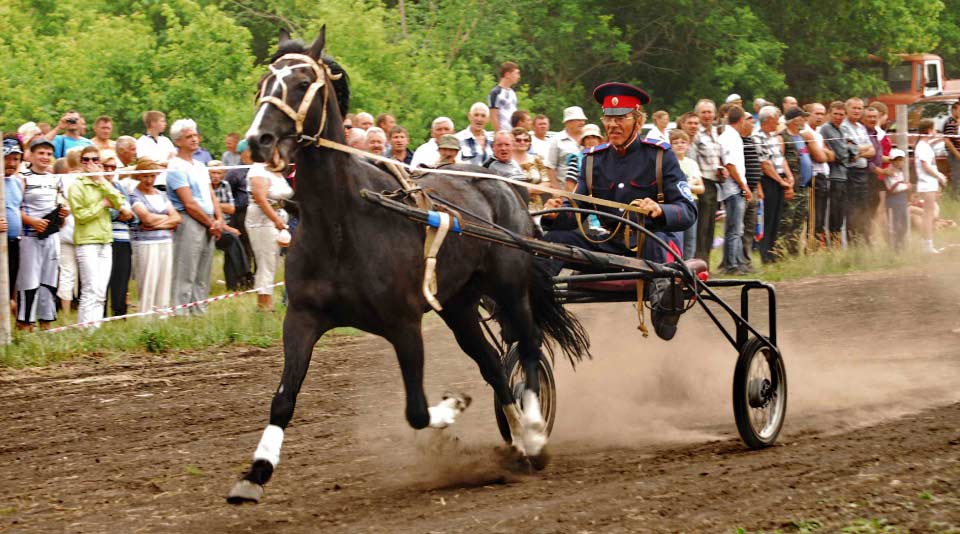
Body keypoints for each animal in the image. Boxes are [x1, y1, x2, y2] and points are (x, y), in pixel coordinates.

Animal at [229, 28, 588, 506]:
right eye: (264, 82)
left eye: (303, 82)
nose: (259, 139)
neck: (342, 223)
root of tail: (508, 189)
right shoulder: (303, 317)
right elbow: (283, 399)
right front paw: (256, 472)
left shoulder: (403, 323)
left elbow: (416, 410)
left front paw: (454, 405)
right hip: (458, 305)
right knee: (494, 365)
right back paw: (516, 441)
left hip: (511, 289)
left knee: (528, 351)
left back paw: (531, 433)